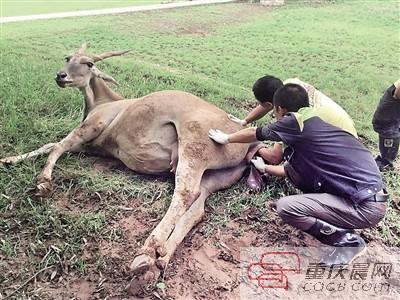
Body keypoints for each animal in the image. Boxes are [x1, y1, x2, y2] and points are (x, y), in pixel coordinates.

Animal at [0, 44, 262, 296]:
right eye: (67, 58)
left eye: (89, 63)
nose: (60, 75)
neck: (103, 101)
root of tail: (248, 141)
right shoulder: (92, 147)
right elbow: (50, 145)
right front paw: (9, 159)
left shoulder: (92, 127)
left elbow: (58, 145)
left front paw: (43, 182)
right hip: (214, 176)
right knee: (196, 208)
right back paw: (157, 261)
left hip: (194, 143)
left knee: (185, 191)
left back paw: (148, 251)